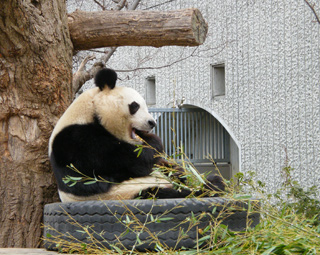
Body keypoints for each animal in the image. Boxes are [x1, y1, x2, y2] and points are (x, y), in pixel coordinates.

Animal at [49, 68, 225, 203]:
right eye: (135, 106)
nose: (152, 123)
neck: (91, 112)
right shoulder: (77, 142)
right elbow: (134, 161)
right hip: (129, 193)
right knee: (165, 194)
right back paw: (211, 187)